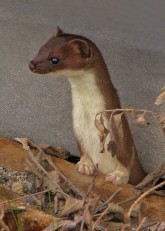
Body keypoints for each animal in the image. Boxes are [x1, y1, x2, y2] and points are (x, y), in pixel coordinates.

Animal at [29, 27, 146, 185]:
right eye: (41, 48)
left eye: (54, 59)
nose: (32, 64)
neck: (89, 115)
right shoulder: (78, 126)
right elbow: (82, 148)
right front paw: (85, 165)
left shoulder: (118, 129)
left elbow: (127, 154)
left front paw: (118, 175)